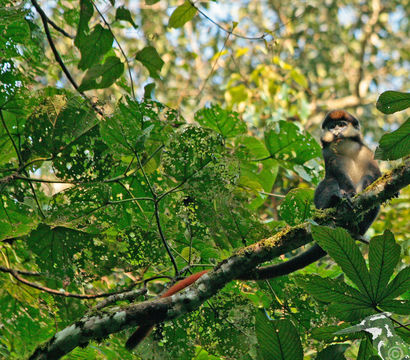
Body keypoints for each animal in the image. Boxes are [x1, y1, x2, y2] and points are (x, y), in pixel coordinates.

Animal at [125, 109, 382, 348]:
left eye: (342, 124)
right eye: (331, 126)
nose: (336, 132)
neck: (345, 147)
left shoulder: (367, 152)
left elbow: (374, 175)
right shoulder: (329, 154)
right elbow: (337, 175)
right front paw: (344, 196)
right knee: (327, 183)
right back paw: (334, 204)